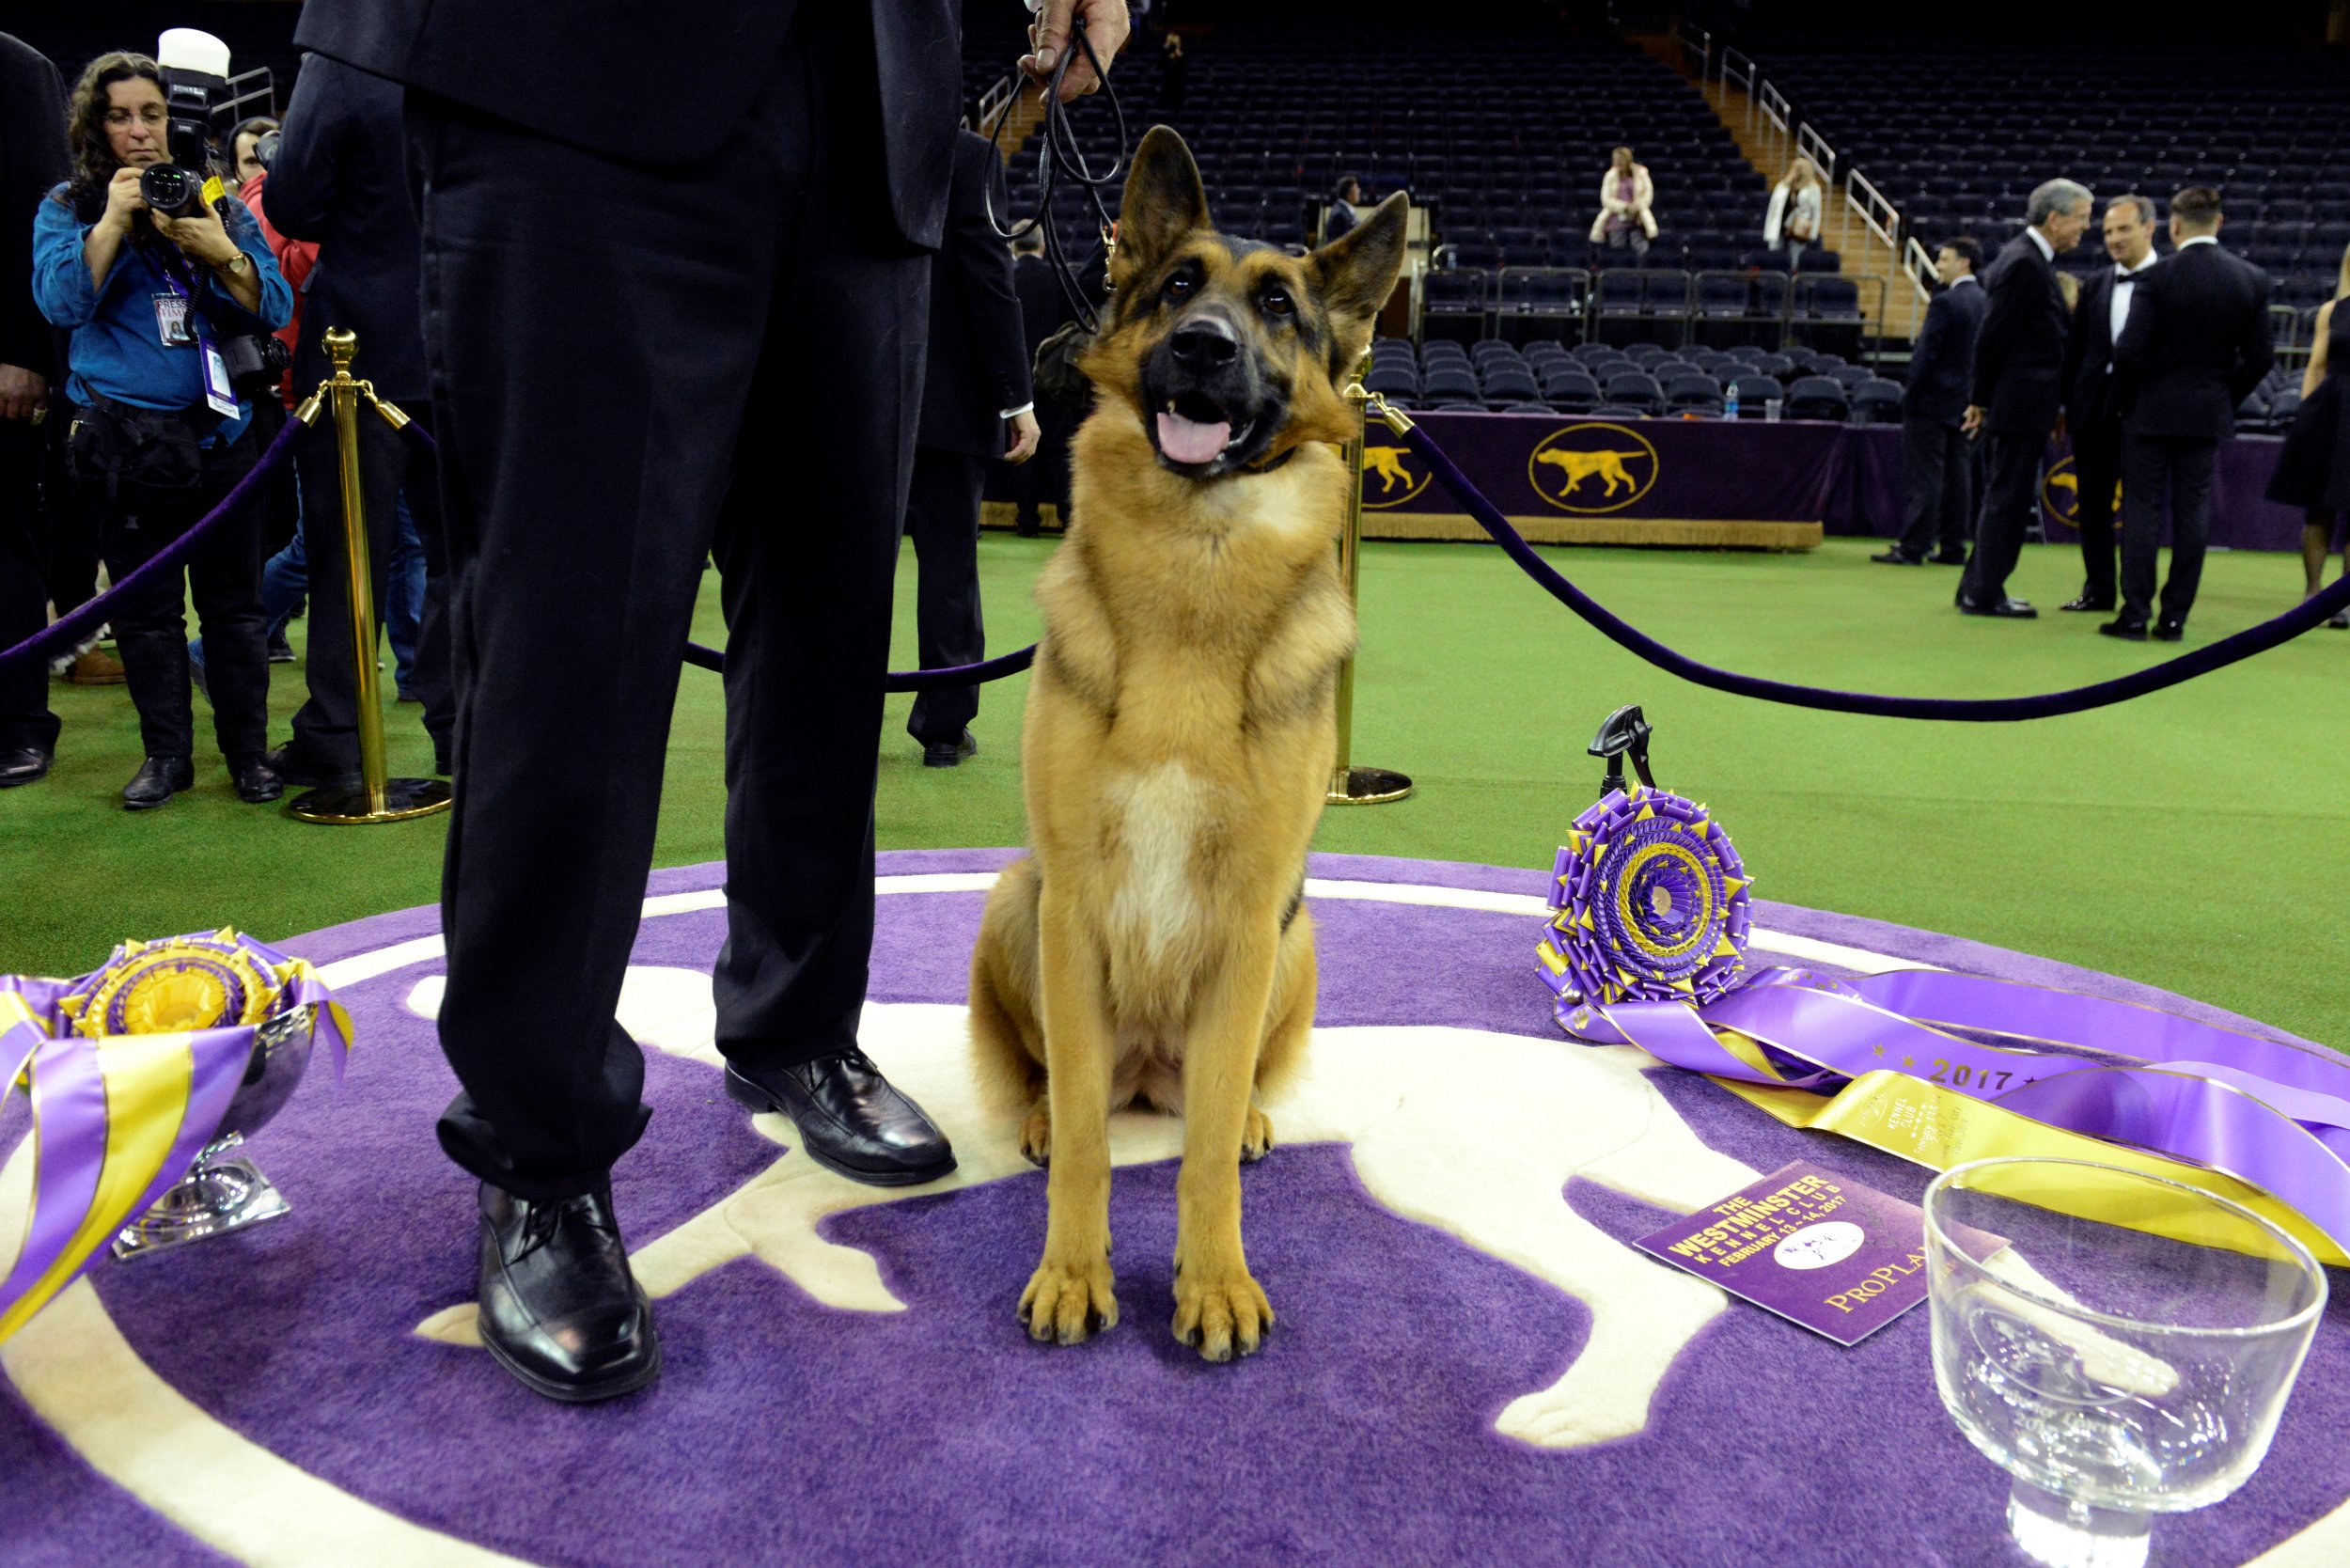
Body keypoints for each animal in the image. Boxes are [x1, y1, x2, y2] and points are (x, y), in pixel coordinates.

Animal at [964, 132, 1401, 1363]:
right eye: (1173, 288)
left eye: (1279, 306)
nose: (1203, 346)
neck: (1194, 571)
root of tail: (1150, 1070)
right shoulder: (1071, 907)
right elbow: (1085, 1142)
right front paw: (1072, 1271)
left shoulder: (1249, 917)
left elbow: (1202, 1160)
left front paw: (1212, 1281)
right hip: (1015, 902)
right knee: (1060, 1088)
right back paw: (1041, 1116)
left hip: (1294, 942)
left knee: (1218, 1095)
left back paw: (1243, 1112)